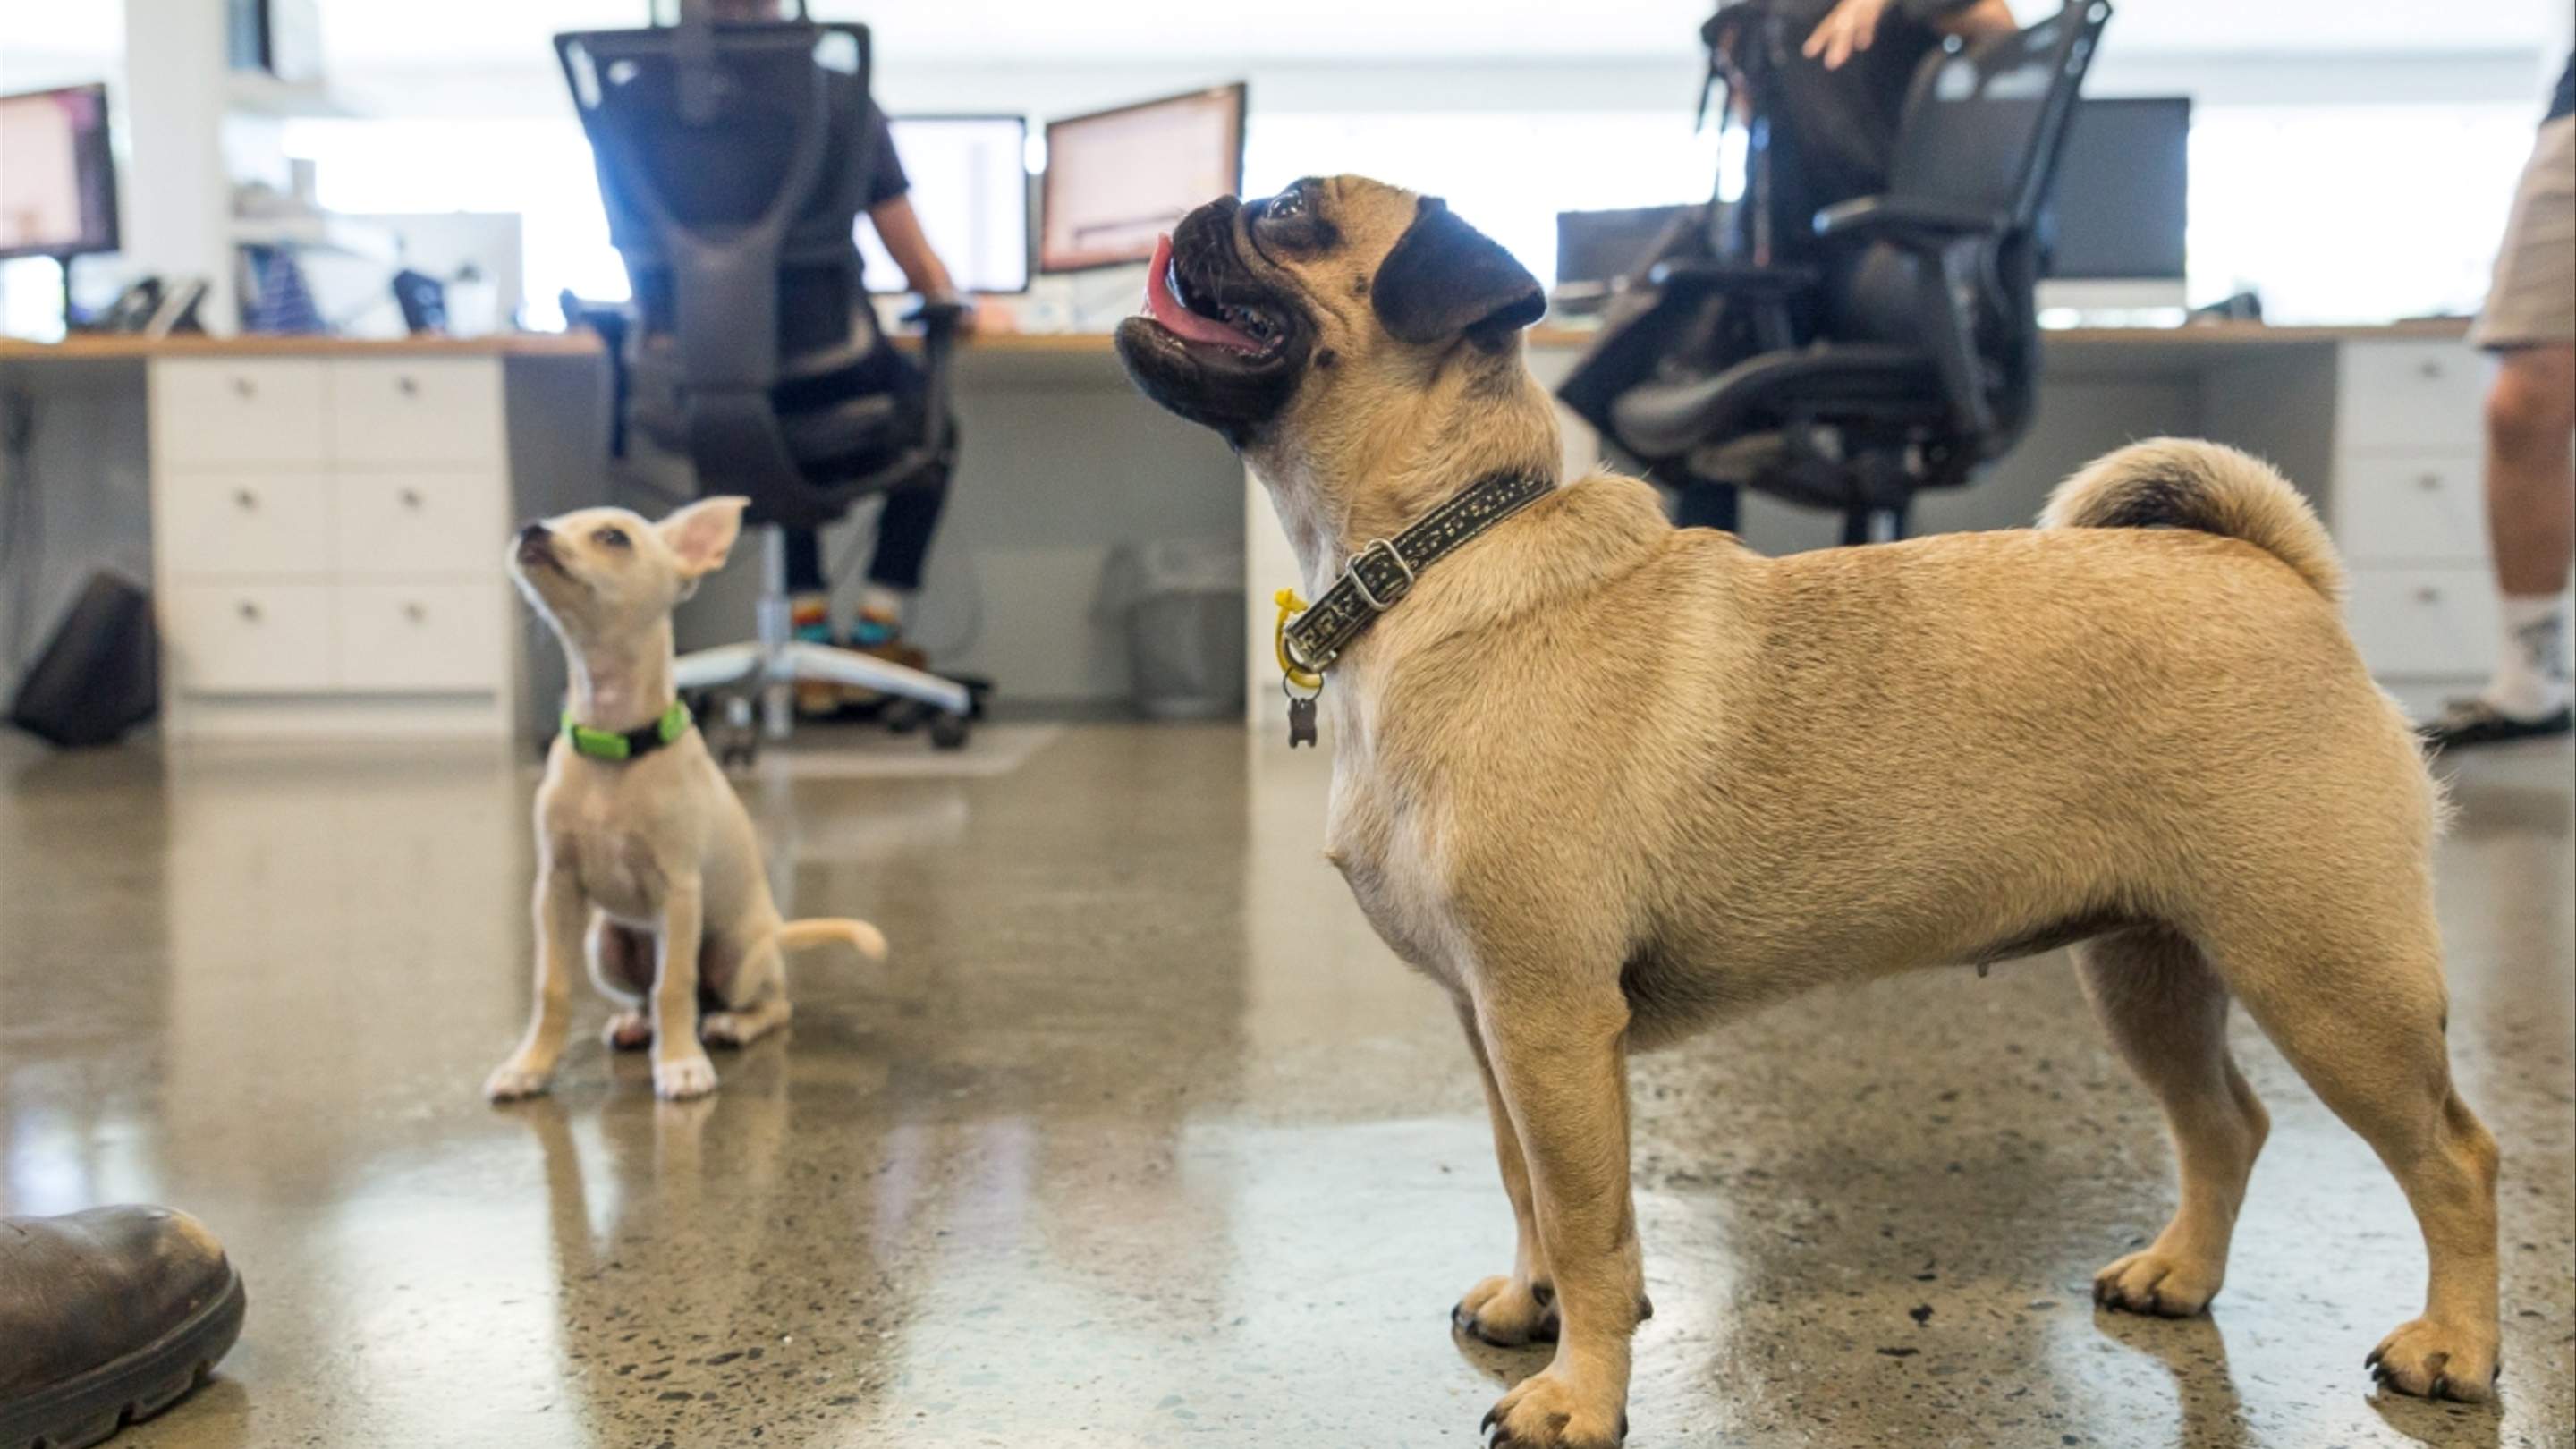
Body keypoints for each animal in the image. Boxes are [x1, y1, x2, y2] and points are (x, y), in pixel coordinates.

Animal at [484, 495, 886, 1093]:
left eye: (613, 537)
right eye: (551, 519)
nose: (530, 529)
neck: (615, 744)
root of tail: (773, 930)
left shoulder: (678, 890)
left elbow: (672, 985)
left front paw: (680, 1064)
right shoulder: (554, 889)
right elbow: (551, 987)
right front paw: (529, 1065)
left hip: (737, 953)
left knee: (765, 1003)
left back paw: (731, 1025)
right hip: (604, 946)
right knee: (650, 996)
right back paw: (635, 1023)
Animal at [1117, 175, 2504, 1433]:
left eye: (1292, 214)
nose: (1204, 206)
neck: (1433, 557)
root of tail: (2279, 576)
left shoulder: (1549, 1020)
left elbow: (1590, 1223)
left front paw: (1582, 1393)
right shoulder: (1496, 1025)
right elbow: (1526, 1190)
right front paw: (1533, 1307)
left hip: (2328, 980)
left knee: (2454, 1158)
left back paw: (2455, 1348)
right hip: (2151, 973)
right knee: (2226, 1125)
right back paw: (2181, 1275)